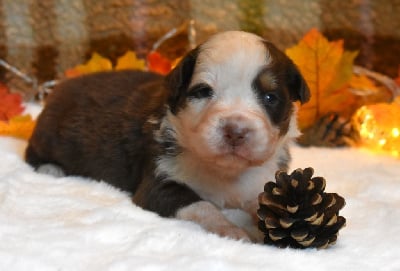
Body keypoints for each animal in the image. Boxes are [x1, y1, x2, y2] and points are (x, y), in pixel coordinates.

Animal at [25, 30, 310, 241]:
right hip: (48, 133)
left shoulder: (263, 176)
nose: (235, 131)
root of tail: (60, 87)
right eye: (203, 91)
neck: (225, 172)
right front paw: (230, 229)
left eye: (270, 97)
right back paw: (51, 169)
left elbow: (263, 200)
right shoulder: (159, 178)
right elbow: (201, 205)